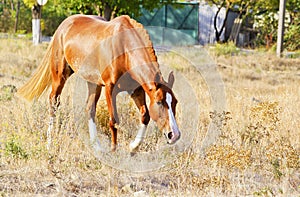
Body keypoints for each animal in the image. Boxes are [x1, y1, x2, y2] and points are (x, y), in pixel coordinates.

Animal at [17, 14, 180, 153]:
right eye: (159, 102)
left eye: (175, 102)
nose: (174, 135)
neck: (124, 48)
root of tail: (63, 26)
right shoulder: (110, 88)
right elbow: (113, 120)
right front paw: (114, 150)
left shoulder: (136, 90)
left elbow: (145, 116)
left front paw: (133, 147)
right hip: (60, 75)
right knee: (54, 102)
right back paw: (50, 143)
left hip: (93, 83)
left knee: (90, 108)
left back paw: (96, 146)